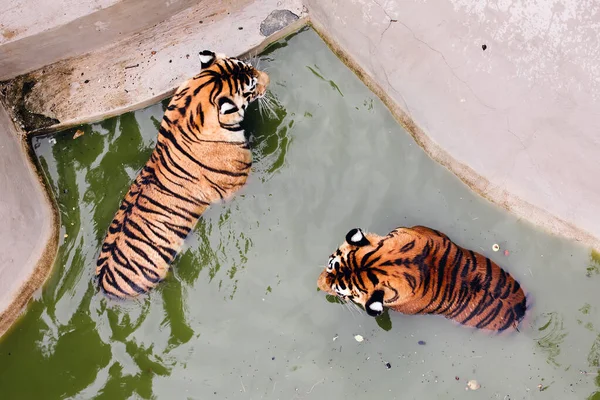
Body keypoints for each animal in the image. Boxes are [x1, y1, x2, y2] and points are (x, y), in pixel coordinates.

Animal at [96, 50, 270, 298]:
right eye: (252, 87)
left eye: (251, 68)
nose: (269, 79)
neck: (192, 105)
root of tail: (103, 284)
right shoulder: (239, 182)